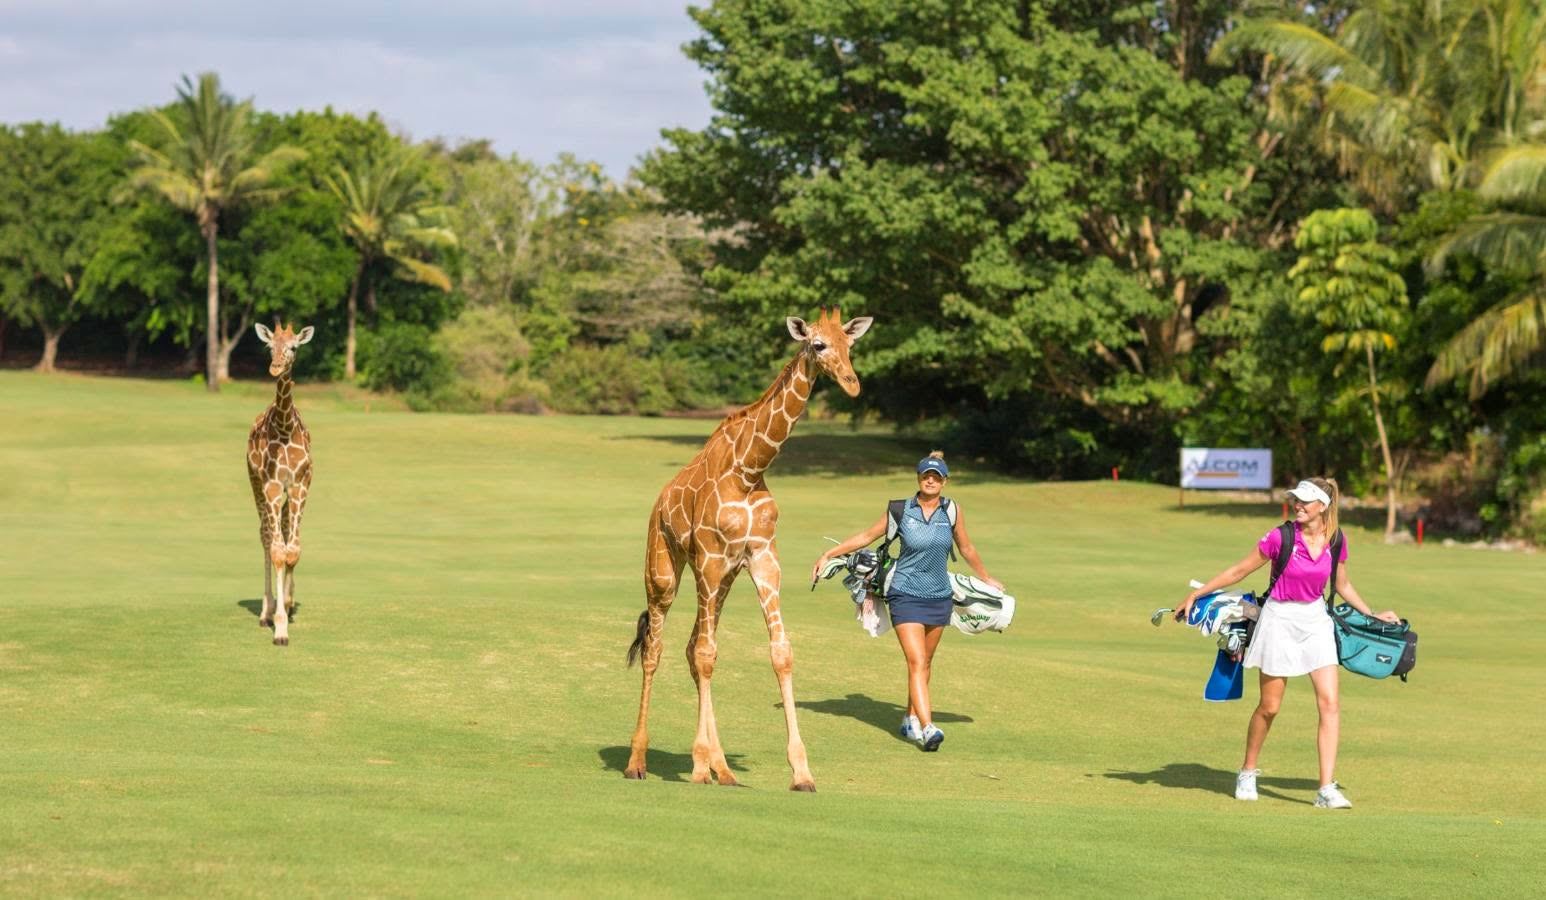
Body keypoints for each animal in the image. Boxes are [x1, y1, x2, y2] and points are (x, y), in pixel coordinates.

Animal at [624, 308, 873, 791]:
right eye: (818, 344)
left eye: (849, 344)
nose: (852, 384)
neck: (749, 468)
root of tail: (659, 502)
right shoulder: (709, 557)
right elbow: (706, 655)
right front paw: (696, 767)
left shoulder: (762, 558)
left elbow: (779, 652)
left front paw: (801, 772)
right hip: (665, 570)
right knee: (657, 650)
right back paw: (638, 761)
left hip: (722, 579)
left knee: (692, 647)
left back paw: (722, 769)